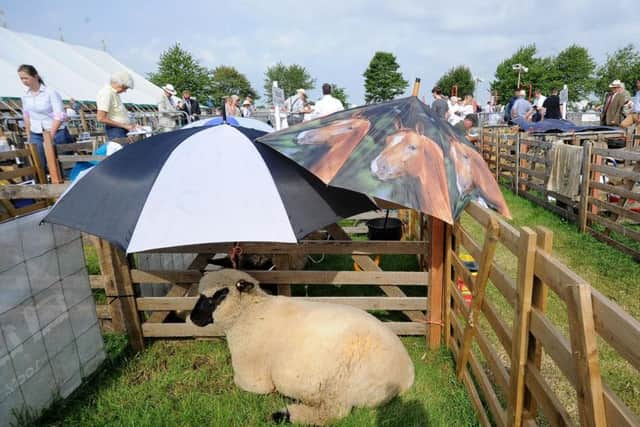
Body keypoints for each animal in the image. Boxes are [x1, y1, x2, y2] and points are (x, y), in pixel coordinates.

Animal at [190, 270, 416, 426]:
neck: (250, 314)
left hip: (343, 383)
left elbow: (245, 384)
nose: (192, 318)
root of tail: (406, 375)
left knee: (334, 412)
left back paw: (285, 414)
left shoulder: (253, 379)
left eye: (219, 294)